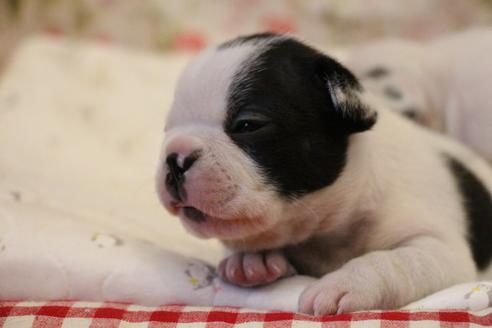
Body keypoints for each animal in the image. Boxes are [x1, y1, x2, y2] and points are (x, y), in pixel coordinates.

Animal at [156, 33, 492, 316]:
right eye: (168, 129)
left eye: (247, 125)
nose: (174, 159)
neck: (326, 229)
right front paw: (252, 260)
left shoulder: (437, 246)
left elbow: (397, 261)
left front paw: (348, 283)